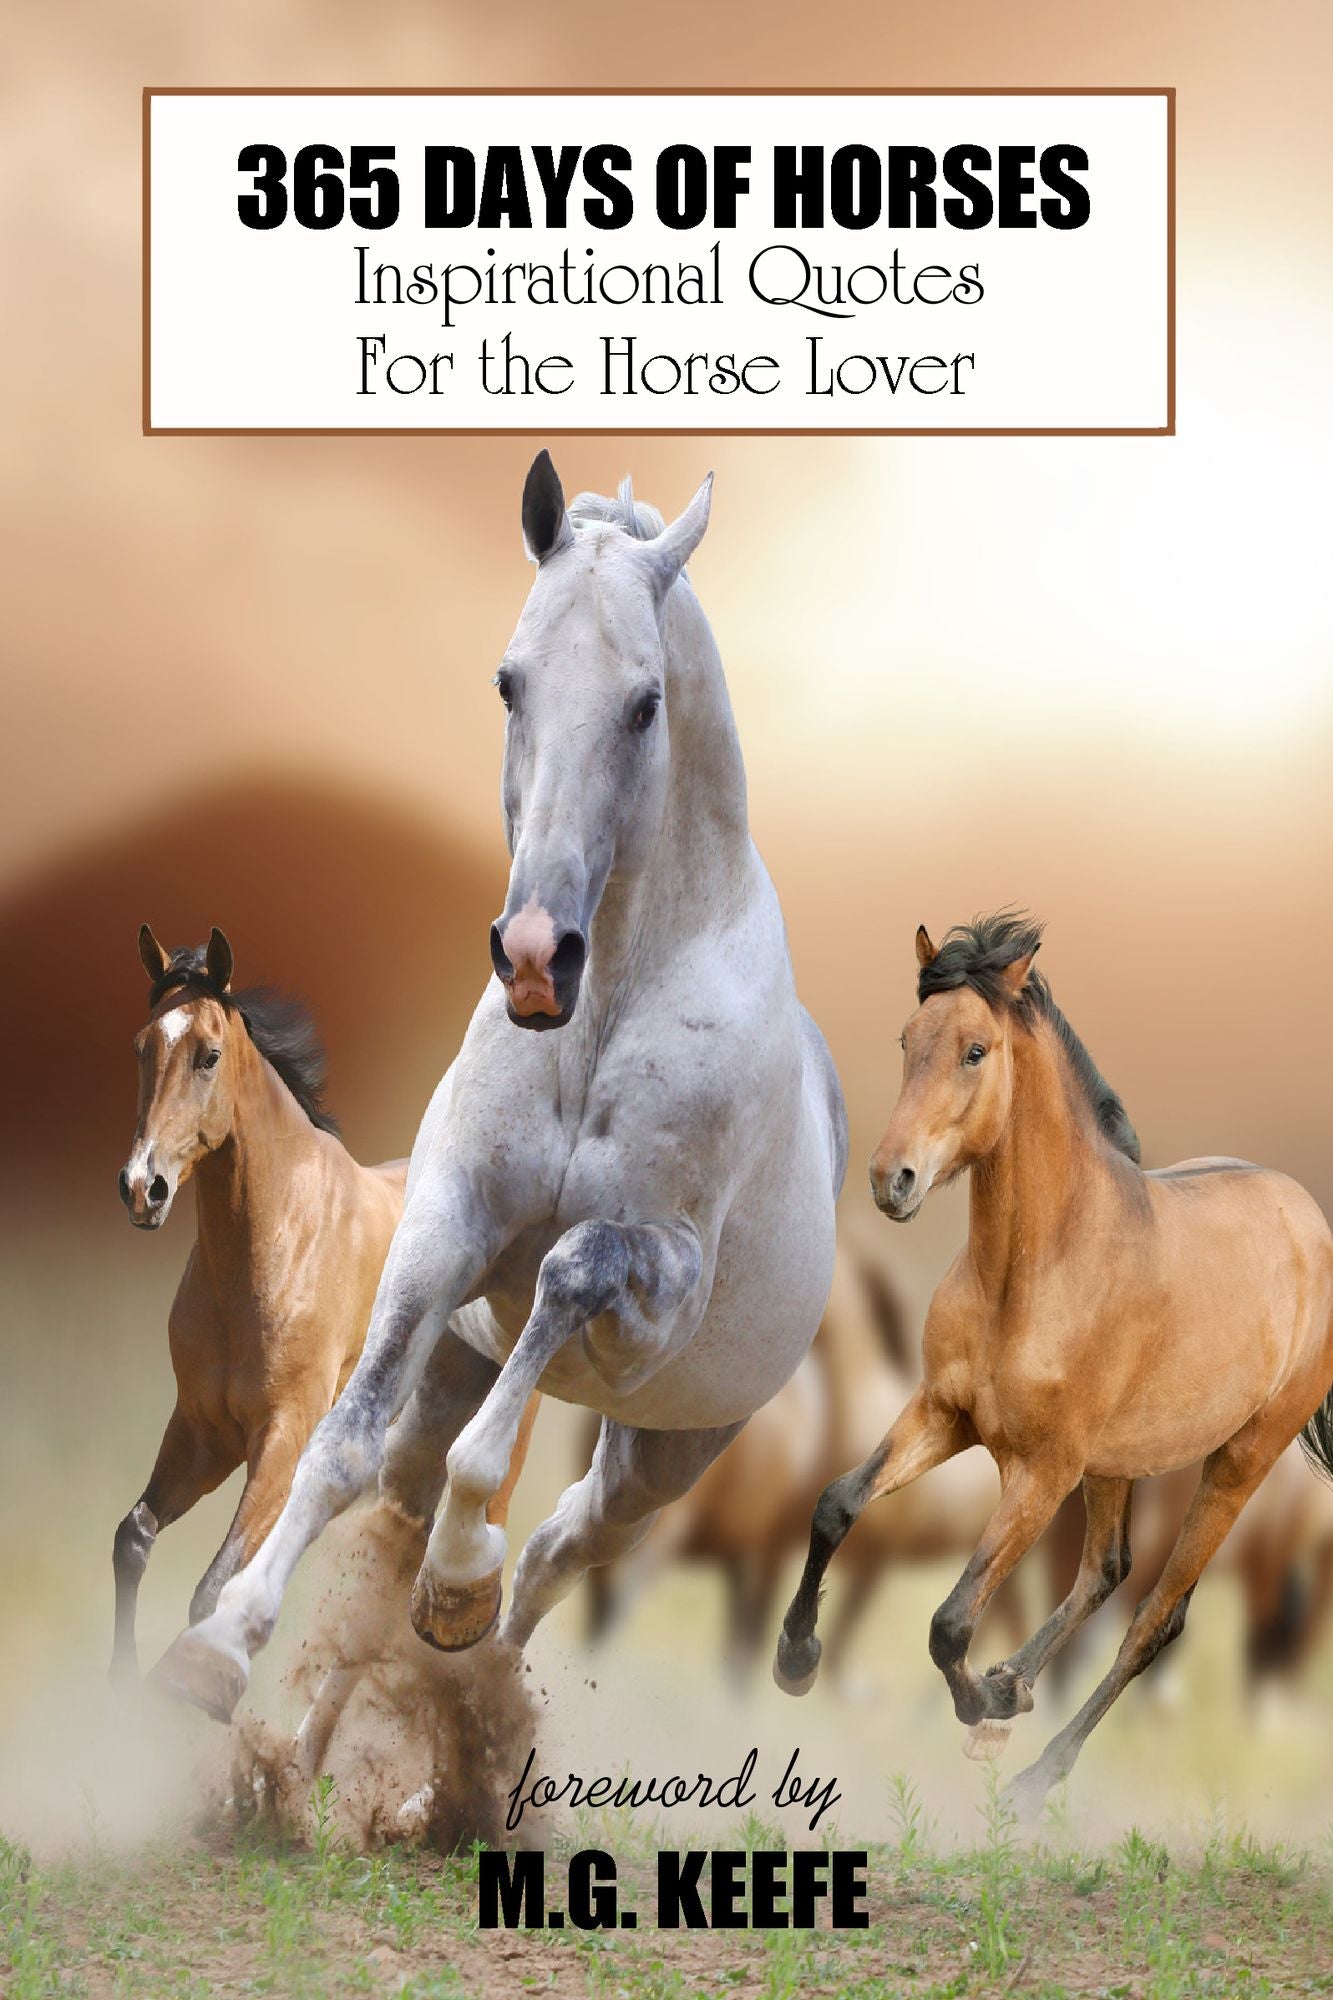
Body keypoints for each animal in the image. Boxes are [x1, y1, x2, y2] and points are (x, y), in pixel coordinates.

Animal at [111, 925, 537, 1690]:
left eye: (208, 1055)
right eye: (141, 1047)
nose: (142, 1187)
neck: (277, 1246)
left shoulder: (282, 1440)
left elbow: (213, 1589)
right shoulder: (202, 1433)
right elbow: (133, 1538)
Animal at [774, 911, 1333, 1816]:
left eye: (974, 1050)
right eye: (907, 1040)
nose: (891, 1181)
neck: (1032, 1273)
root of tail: (1308, 1219)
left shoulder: (1039, 1471)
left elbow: (949, 1620)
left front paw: (980, 1702)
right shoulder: (943, 1415)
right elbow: (835, 1504)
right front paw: (795, 1659)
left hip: (1234, 1466)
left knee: (1151, 1619)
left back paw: (1032, 1775)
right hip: (1117, 1465)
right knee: (1105, 1571)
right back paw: (1014, 1688)